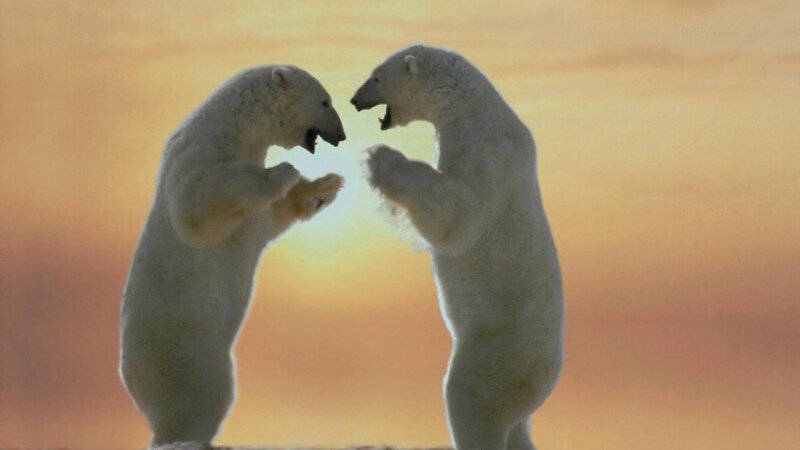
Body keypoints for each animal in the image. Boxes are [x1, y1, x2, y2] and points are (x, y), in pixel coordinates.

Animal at [119, 65, 346, 447]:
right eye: (324, 101)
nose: (342, 136)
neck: (236, 125)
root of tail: (132, 379)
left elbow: (272, 216)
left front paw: (326, 186)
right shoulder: (200, 153)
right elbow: (198, 205)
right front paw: (284, 171)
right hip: (186, 351)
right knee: (202, 399)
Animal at [351, 45, 564, 450]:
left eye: (375, 77)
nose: (354, 101)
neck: (475, 110)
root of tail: (548, 376)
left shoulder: (486, 154)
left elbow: (460, 215)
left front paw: (380, 158)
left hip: (496, 355)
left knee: (471, 401)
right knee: (518, 428)